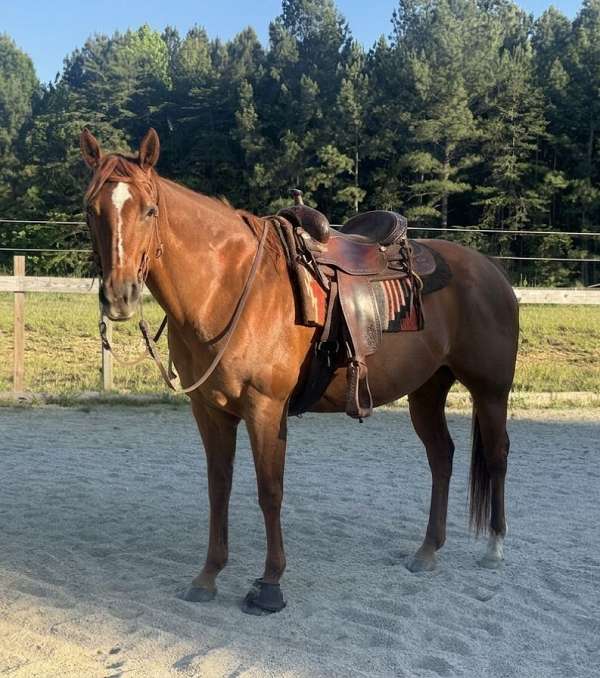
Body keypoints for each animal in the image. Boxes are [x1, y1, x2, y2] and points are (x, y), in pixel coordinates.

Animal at [80, 128, 519, 615]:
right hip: (426, 390)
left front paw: (270, 585)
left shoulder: (265, 408)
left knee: (497, 455)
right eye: (90, 209)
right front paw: (208, 576)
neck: (229, 288)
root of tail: (490, 270)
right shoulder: (210, 411)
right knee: (441, 457)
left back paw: (494, 548)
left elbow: (270, 492)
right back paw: (427, 551)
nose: (120, 296)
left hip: (490, 390)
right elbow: (219, 488)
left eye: (150, 209)